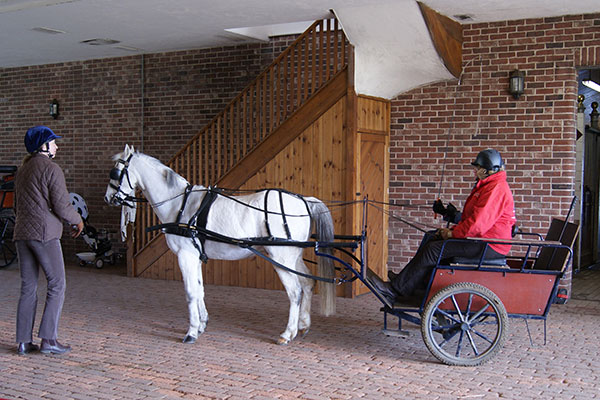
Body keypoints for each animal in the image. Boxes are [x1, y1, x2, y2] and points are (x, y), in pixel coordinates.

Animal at [103, 145, 338, 346]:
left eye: (115, 173)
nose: (108, 198)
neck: (180, 205)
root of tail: (304, 200)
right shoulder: (195, 257)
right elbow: (200, 289)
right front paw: (201, 325)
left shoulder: (185, 256)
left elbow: (190, 292)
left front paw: (191, 332)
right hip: (293, 257)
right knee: (307, 284)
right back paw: (303, 326)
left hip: (281, 258)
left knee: (295, 291)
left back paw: (287, 333)